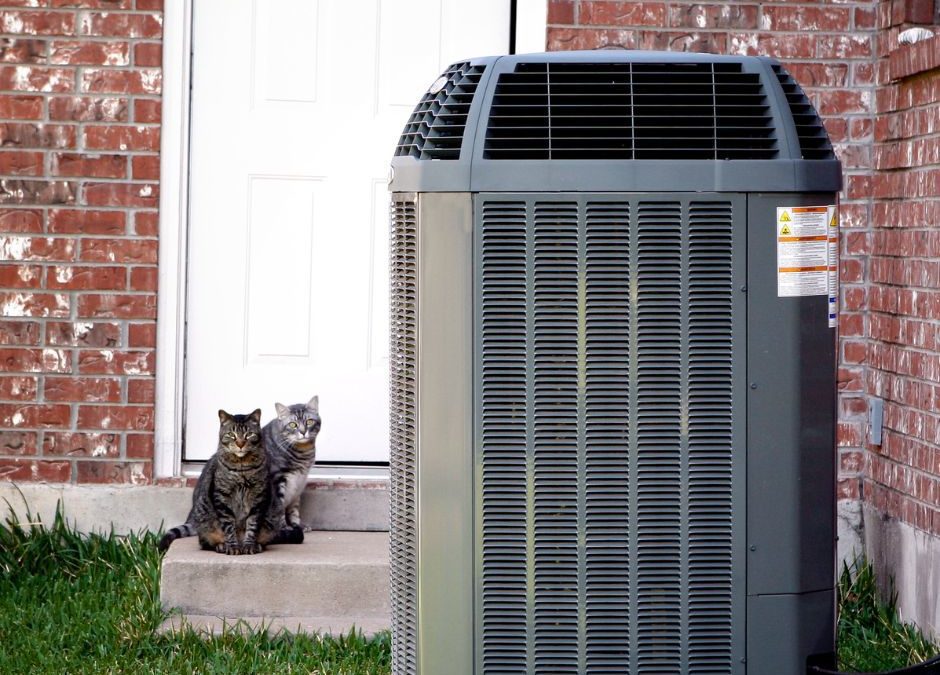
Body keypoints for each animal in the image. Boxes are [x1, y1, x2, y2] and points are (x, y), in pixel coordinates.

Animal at [262, 396, 324, 540]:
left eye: (309, 421)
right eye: (292, 424)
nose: (303, 432)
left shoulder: (299, 483)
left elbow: (294, 510)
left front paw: (297, 525)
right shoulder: (277, 480)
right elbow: (279, 509)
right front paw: (284, 529)